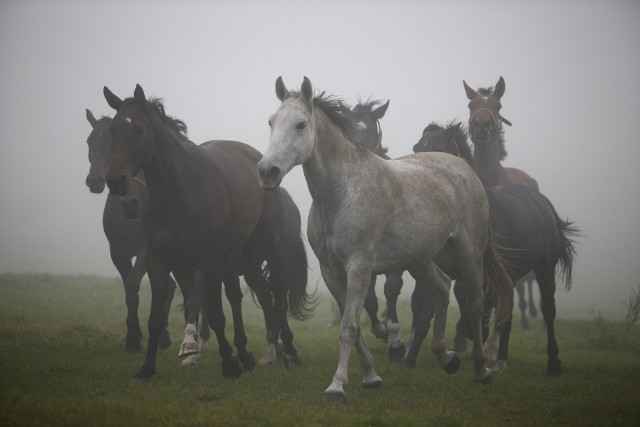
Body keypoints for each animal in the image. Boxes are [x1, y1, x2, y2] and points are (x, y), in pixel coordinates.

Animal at [258, 77, 512, 404]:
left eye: (301, 124)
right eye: (271, 122)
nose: (267, 171)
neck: (341, 192)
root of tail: (462, 166)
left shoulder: (359, 266)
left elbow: (349, 327)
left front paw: (337, 386)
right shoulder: (331, 273)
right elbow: (356, 326)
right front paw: (371, 377)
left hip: (470, 250)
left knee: (476, 303)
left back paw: (481, 369)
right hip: (419, 259)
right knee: (442, 288)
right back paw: (447, 358)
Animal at [412, 121, 584, 374]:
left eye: (437, 149)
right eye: (416, 149)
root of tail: (543, 204)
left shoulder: (485, 277)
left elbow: (481, 315)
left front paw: (476, 355)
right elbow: (439, 307)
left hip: (544, 268)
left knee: (548, 310)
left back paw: (552, 362)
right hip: (510, 275)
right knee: (507, 313)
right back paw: (501, 360)